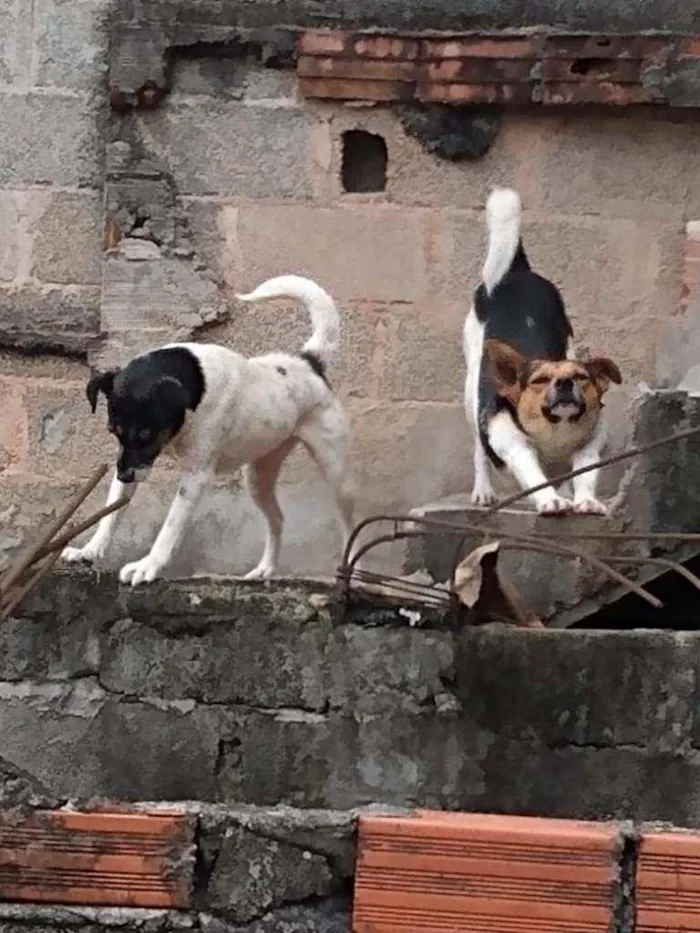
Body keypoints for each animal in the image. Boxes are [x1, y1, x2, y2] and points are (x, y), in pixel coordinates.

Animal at [60, 274, 356, 588]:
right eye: (113, 431)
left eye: (147, 434)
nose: (124, 475)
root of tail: (309, 363)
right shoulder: (129, 459)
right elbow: (111, 513)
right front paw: (89, 550)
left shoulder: (195, 476)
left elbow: (170, 526)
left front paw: (148, 565)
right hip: (258, 477)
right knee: (277, 519)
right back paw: (264, 569)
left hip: (337, 475)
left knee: (351, 528)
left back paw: (351, 574)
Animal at [462, 186, 620, 512]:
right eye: (539, 381)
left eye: (582, 377)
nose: (565, 383)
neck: (555, 433)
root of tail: (517, 272)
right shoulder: (514, 445)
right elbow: (534, 474)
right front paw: (551, 500)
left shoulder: (589, 447)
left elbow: (584, 474)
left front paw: (584, 499)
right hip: (471, 392)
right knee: (479, 451)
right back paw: (483, 490)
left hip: (569, 342)